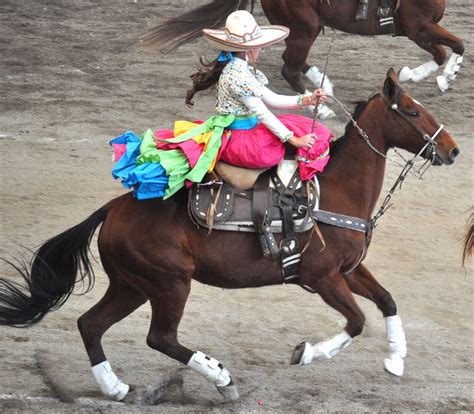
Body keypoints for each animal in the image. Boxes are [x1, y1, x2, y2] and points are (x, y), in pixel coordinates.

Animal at [0, 70, 460, 402]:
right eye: (412, 112)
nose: (452, 150)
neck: (334, 192)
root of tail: (114, 207)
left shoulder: (350, 270)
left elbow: (387, 301)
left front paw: (396, 361)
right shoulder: (323, 277)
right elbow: (357, 321)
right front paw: (307, 353)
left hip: (132, 285)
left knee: (90, 325)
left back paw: (116, 388)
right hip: (170, 283)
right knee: (160, 337)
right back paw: (222, 379)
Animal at [144, 0, 462, 94]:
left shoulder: (416, 30)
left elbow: (440, 52)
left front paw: (411, 75)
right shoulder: (418, 26)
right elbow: (458, 45)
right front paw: (448, 78)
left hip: (300, 28)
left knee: (291, 60)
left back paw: (323, 84)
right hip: (304, 28)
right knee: (289, 66)